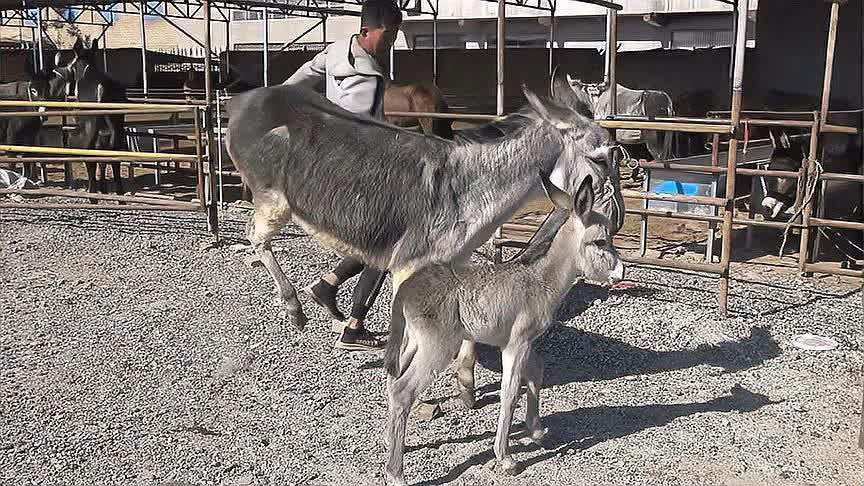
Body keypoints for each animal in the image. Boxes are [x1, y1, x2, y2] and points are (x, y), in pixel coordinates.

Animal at [384, 177, 620, 484]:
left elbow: (536, 372)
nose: (620, 273)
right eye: (600, 241)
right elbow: (509, 393)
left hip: (414, 342)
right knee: (403, 390)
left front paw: (536, 430)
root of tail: (406, 289)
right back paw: (395, 472)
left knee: (393, 382)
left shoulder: (525, 343)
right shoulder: (515, 345)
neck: (540, 280)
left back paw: (393, 442)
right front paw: (505, 457)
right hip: (438, 348)